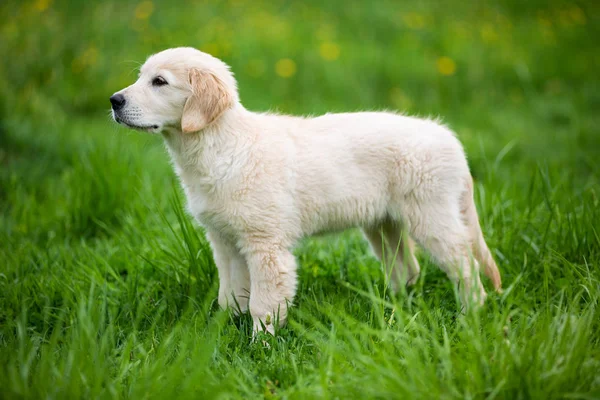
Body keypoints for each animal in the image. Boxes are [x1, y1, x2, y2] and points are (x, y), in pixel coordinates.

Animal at [111, 46, 502, 334]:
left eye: (160, 82)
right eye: (141, 77)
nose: (114, 101)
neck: (220, 146)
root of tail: (449, 138)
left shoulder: (266, 246)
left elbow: (263, 305)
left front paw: (260, 348)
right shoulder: (224, 242)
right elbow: (231, 295)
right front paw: (223, 332)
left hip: (432, 216)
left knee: (464, 265)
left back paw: (470, 315)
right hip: (383, 223)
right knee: (407, 269)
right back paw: (394, 310)